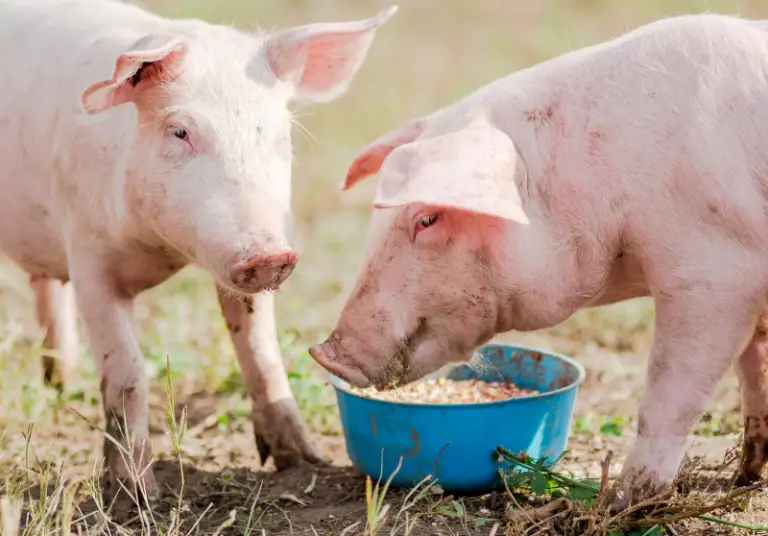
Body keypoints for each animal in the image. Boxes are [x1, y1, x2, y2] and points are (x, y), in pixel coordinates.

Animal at [0, 0, 396, 499]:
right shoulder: (88, 255)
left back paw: (63, 385)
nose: (269, 256)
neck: (160, 250)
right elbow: (127, 370)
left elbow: (260, 348)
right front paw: (137, 493)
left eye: (282, 135)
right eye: (180, 132)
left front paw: (303, 460)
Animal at [310, 13, 768, 508]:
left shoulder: (713, 273)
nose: (326, 353)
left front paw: (624, 501)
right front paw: (746, 476)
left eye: (427, 218)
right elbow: (754, 369)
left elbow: (670, 391)